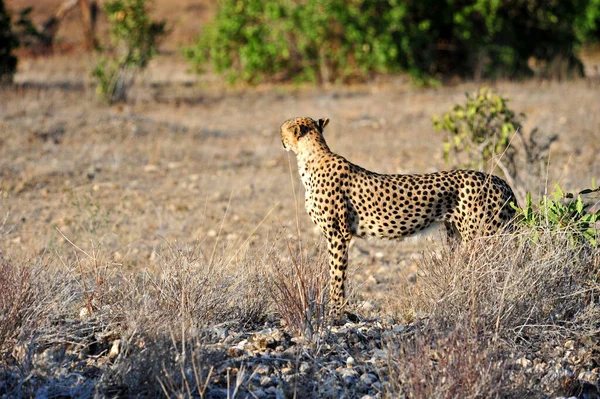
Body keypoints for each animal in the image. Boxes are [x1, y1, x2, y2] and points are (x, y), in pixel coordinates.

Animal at [280, 116, 516, 322]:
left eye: (283, 129)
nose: (280, 140)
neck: (311, 157)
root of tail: (499, 180)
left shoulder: (338, 235)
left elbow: (336, 276)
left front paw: (334, 316)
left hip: (483, 237)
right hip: (459, 234)